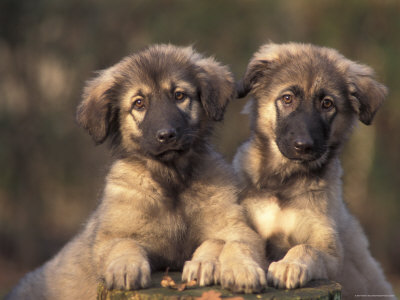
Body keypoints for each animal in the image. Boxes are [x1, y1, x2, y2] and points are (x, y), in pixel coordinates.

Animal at [6, 44, 268, 300]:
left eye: (179, 96)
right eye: (139, 103)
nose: (166, 135)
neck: (171, 181)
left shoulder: (236, 226)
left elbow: (232, 243)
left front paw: (236, 269)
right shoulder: (113, 237)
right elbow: (124, 245)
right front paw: (125, 268)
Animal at [234, 42, 394, 298]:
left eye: (327, 103)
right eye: (287, 98)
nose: (303, 146)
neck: (284, 181)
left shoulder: (329, 250)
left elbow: (306, 248)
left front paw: (289, 266)